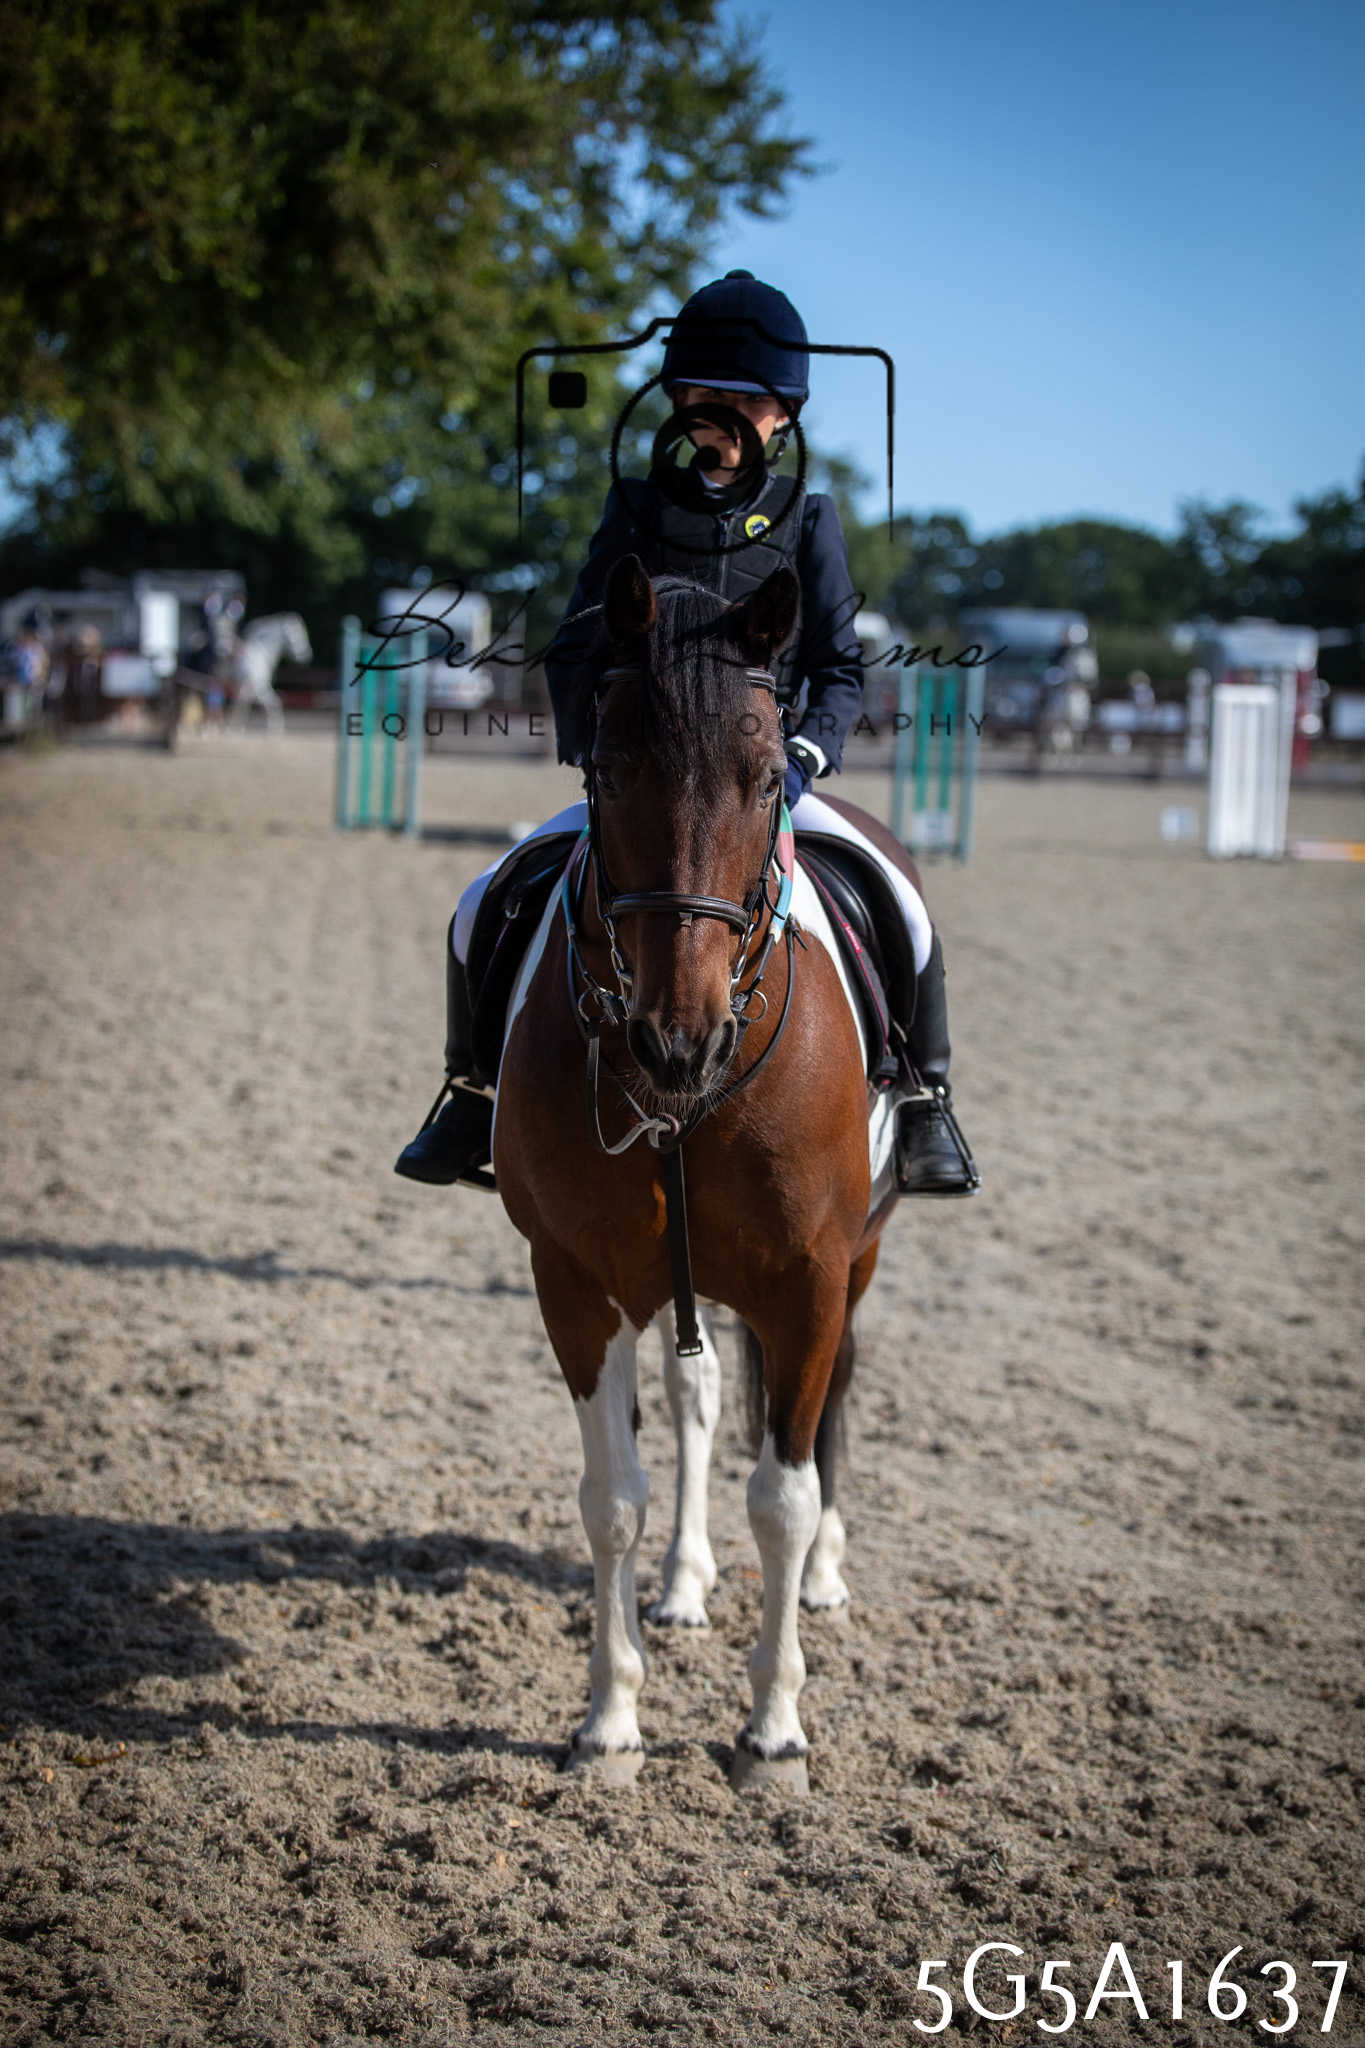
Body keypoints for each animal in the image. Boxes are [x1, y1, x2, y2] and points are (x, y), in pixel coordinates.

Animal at [492, 554, 929, 1793]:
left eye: (766, 772)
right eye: (606, 766)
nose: (673, 1043)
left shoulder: (810, 1281)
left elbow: (783, 1493)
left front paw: (774, 1726)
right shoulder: (575, 1283)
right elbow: (611, 1500)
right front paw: (609, 1717)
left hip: (859, 1260)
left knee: (827, 1410)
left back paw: (823, 1578)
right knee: (695, 1400)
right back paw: (684, 1584)